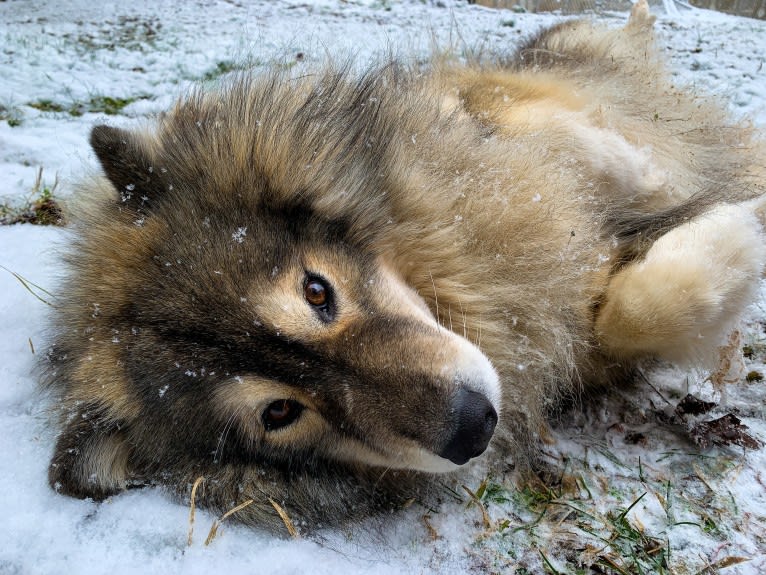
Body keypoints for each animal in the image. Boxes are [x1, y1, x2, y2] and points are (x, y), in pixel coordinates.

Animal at [46, 1, 766, 532]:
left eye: (317, 291)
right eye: (279, 413)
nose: (472, 427)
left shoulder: (512, 125)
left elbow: (604, 160)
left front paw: (710, 195)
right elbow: (637, 308)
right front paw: (737, 233)